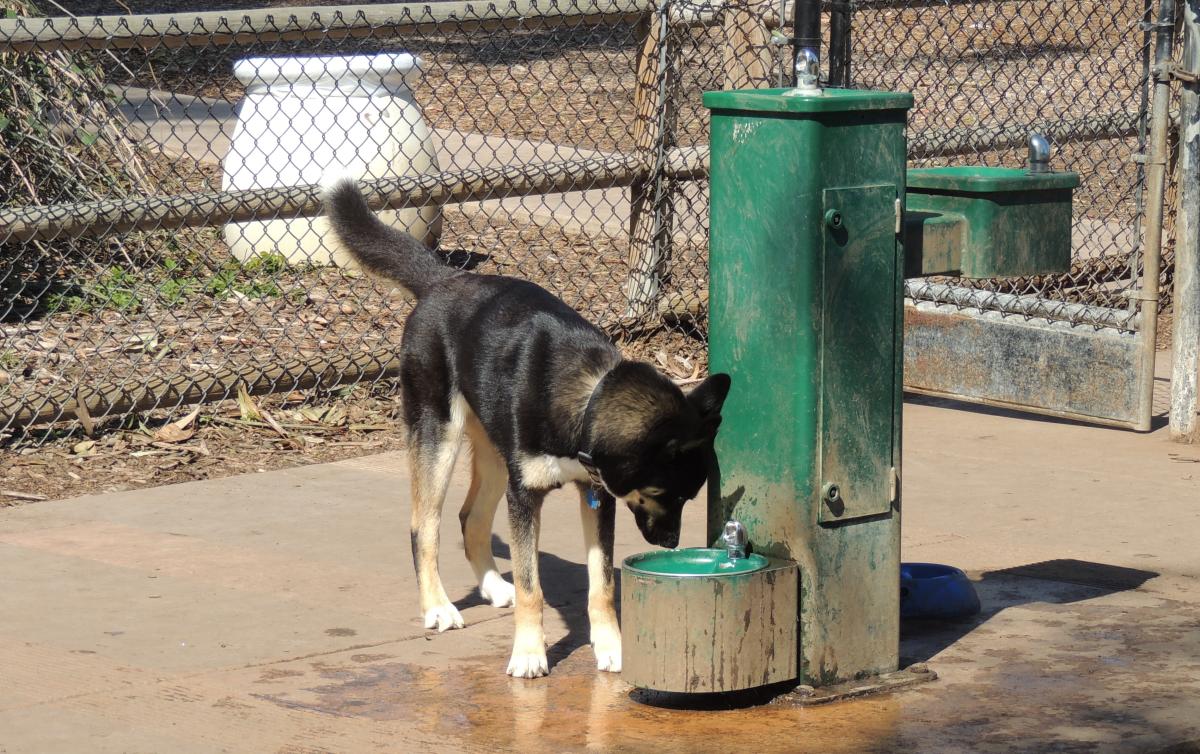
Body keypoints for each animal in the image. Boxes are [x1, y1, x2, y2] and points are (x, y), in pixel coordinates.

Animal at [324, 181, 724, 677]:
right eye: (666, 494)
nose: (671, 544)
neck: (588, 399)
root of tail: (443, 280)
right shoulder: (526, 496)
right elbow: (534, 587)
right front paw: (530, 653)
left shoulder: (596, 498)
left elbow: (602, 584)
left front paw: (611, 647)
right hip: (440, 439)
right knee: (424, 527)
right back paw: (437, 606)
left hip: (496, 456)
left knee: (471, 518)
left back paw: (494, 587)